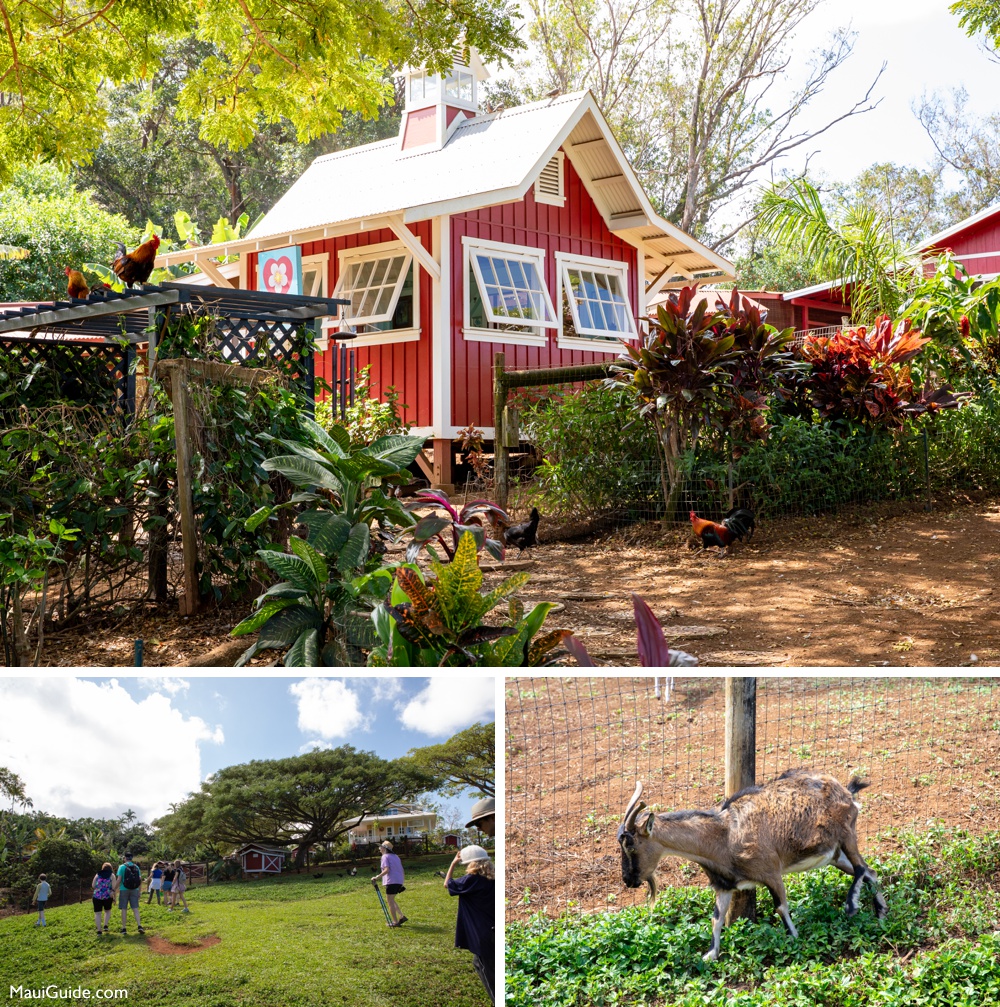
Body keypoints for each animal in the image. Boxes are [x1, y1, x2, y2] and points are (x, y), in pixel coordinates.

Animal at [616, 769, 890, 958]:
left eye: (630, 845)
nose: (629, 880)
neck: (724, 835)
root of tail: (846, 791)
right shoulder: (725, 885)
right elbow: (716, 919)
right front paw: (710, 955)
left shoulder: (771, 872)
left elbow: (781, 907)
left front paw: (794, 939)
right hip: (834, 855)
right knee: (871, 871)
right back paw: (881, 913)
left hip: (847, 833)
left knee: (861, 868)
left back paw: (852, 905)